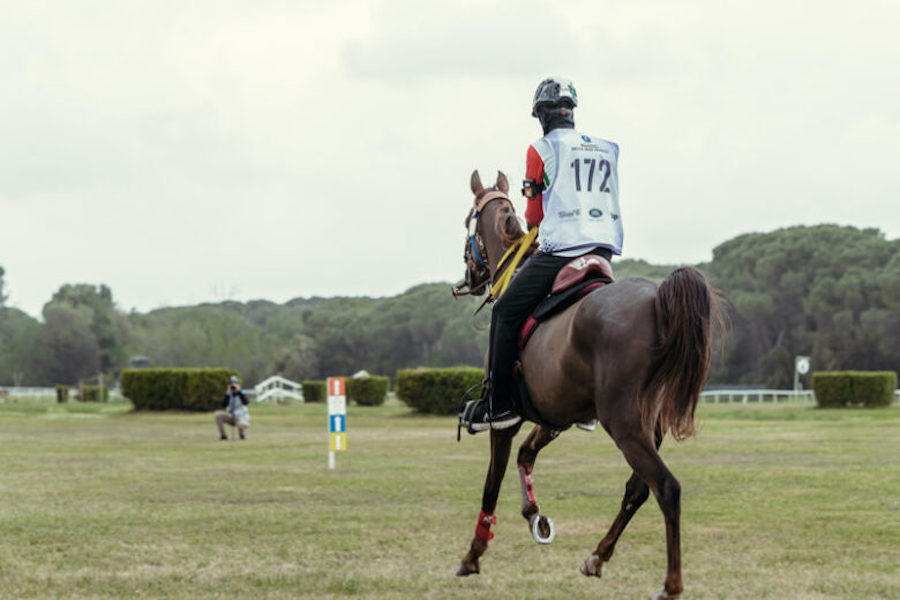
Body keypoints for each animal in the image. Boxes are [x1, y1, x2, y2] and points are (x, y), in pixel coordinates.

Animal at [454, 170, 720, 600]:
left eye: (467, 222)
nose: (469, 278)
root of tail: (658, 300)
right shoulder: (555, 414)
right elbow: (527, 455)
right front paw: (535, 516)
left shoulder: (504, 419)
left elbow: (491, 483)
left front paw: (474, 554)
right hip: (650, 424)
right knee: (637, 489)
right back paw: (598, 556)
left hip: (624, 423)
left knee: (666, 487)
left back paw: (670, 585)